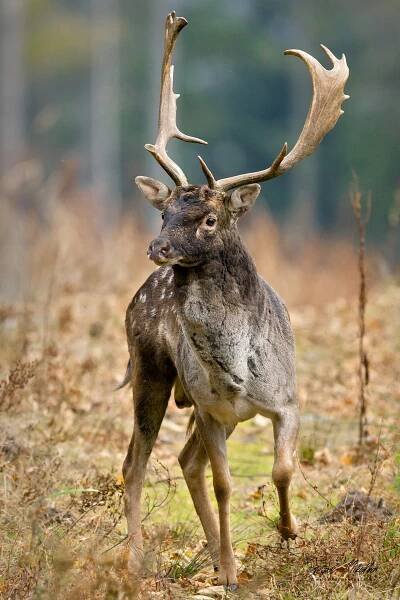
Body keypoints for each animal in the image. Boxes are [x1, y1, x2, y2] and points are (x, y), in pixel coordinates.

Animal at [119, 11, 350, 588]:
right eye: (164, 212)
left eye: (208, 218)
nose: (157, 247)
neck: (240, 370)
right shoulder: (210, 409)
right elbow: (225, 485)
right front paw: (229, 571)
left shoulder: (288, 399)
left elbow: (283, 468)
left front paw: (289, 533)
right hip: (152, 372)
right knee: (137, 463)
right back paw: (139, 559)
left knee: (184, 462)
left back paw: (204, 548)